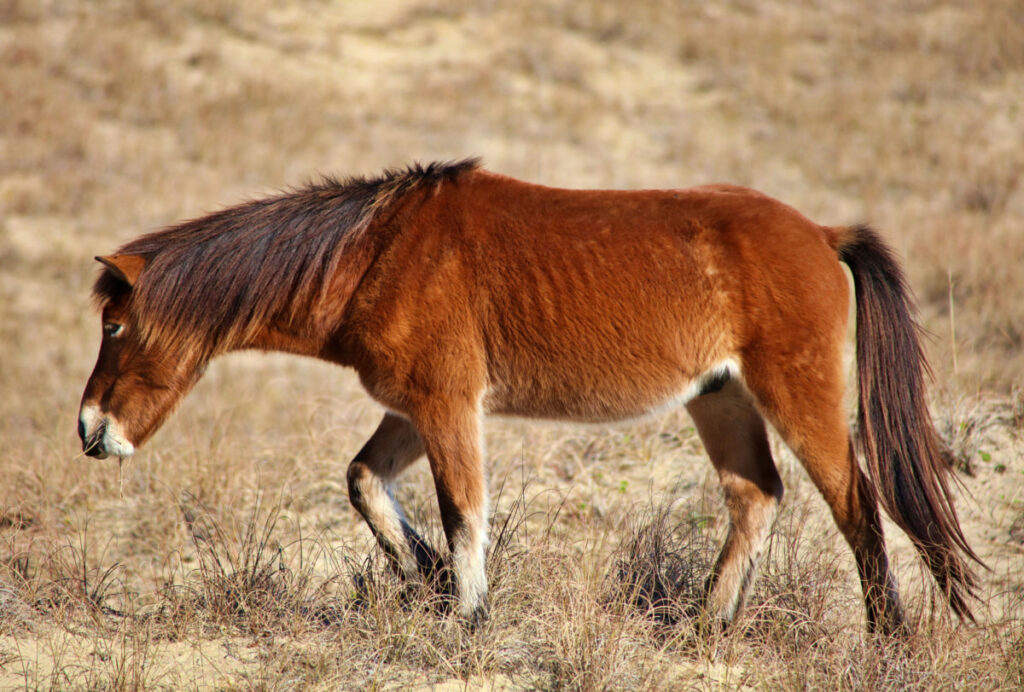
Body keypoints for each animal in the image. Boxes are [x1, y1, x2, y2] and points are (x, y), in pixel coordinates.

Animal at [77, 159, 974, 634]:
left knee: (855, 502)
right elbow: (366, 483)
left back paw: (884, 634)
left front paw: (466, 615)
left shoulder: (446, 406)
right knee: (756, 495)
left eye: (115, 325)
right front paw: (428, 578)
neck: (375, 255)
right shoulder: (414, 408)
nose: (90, 429)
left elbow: (463, 508)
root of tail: (822, 235)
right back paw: (705, 625)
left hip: (797, 391)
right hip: (719, 397)